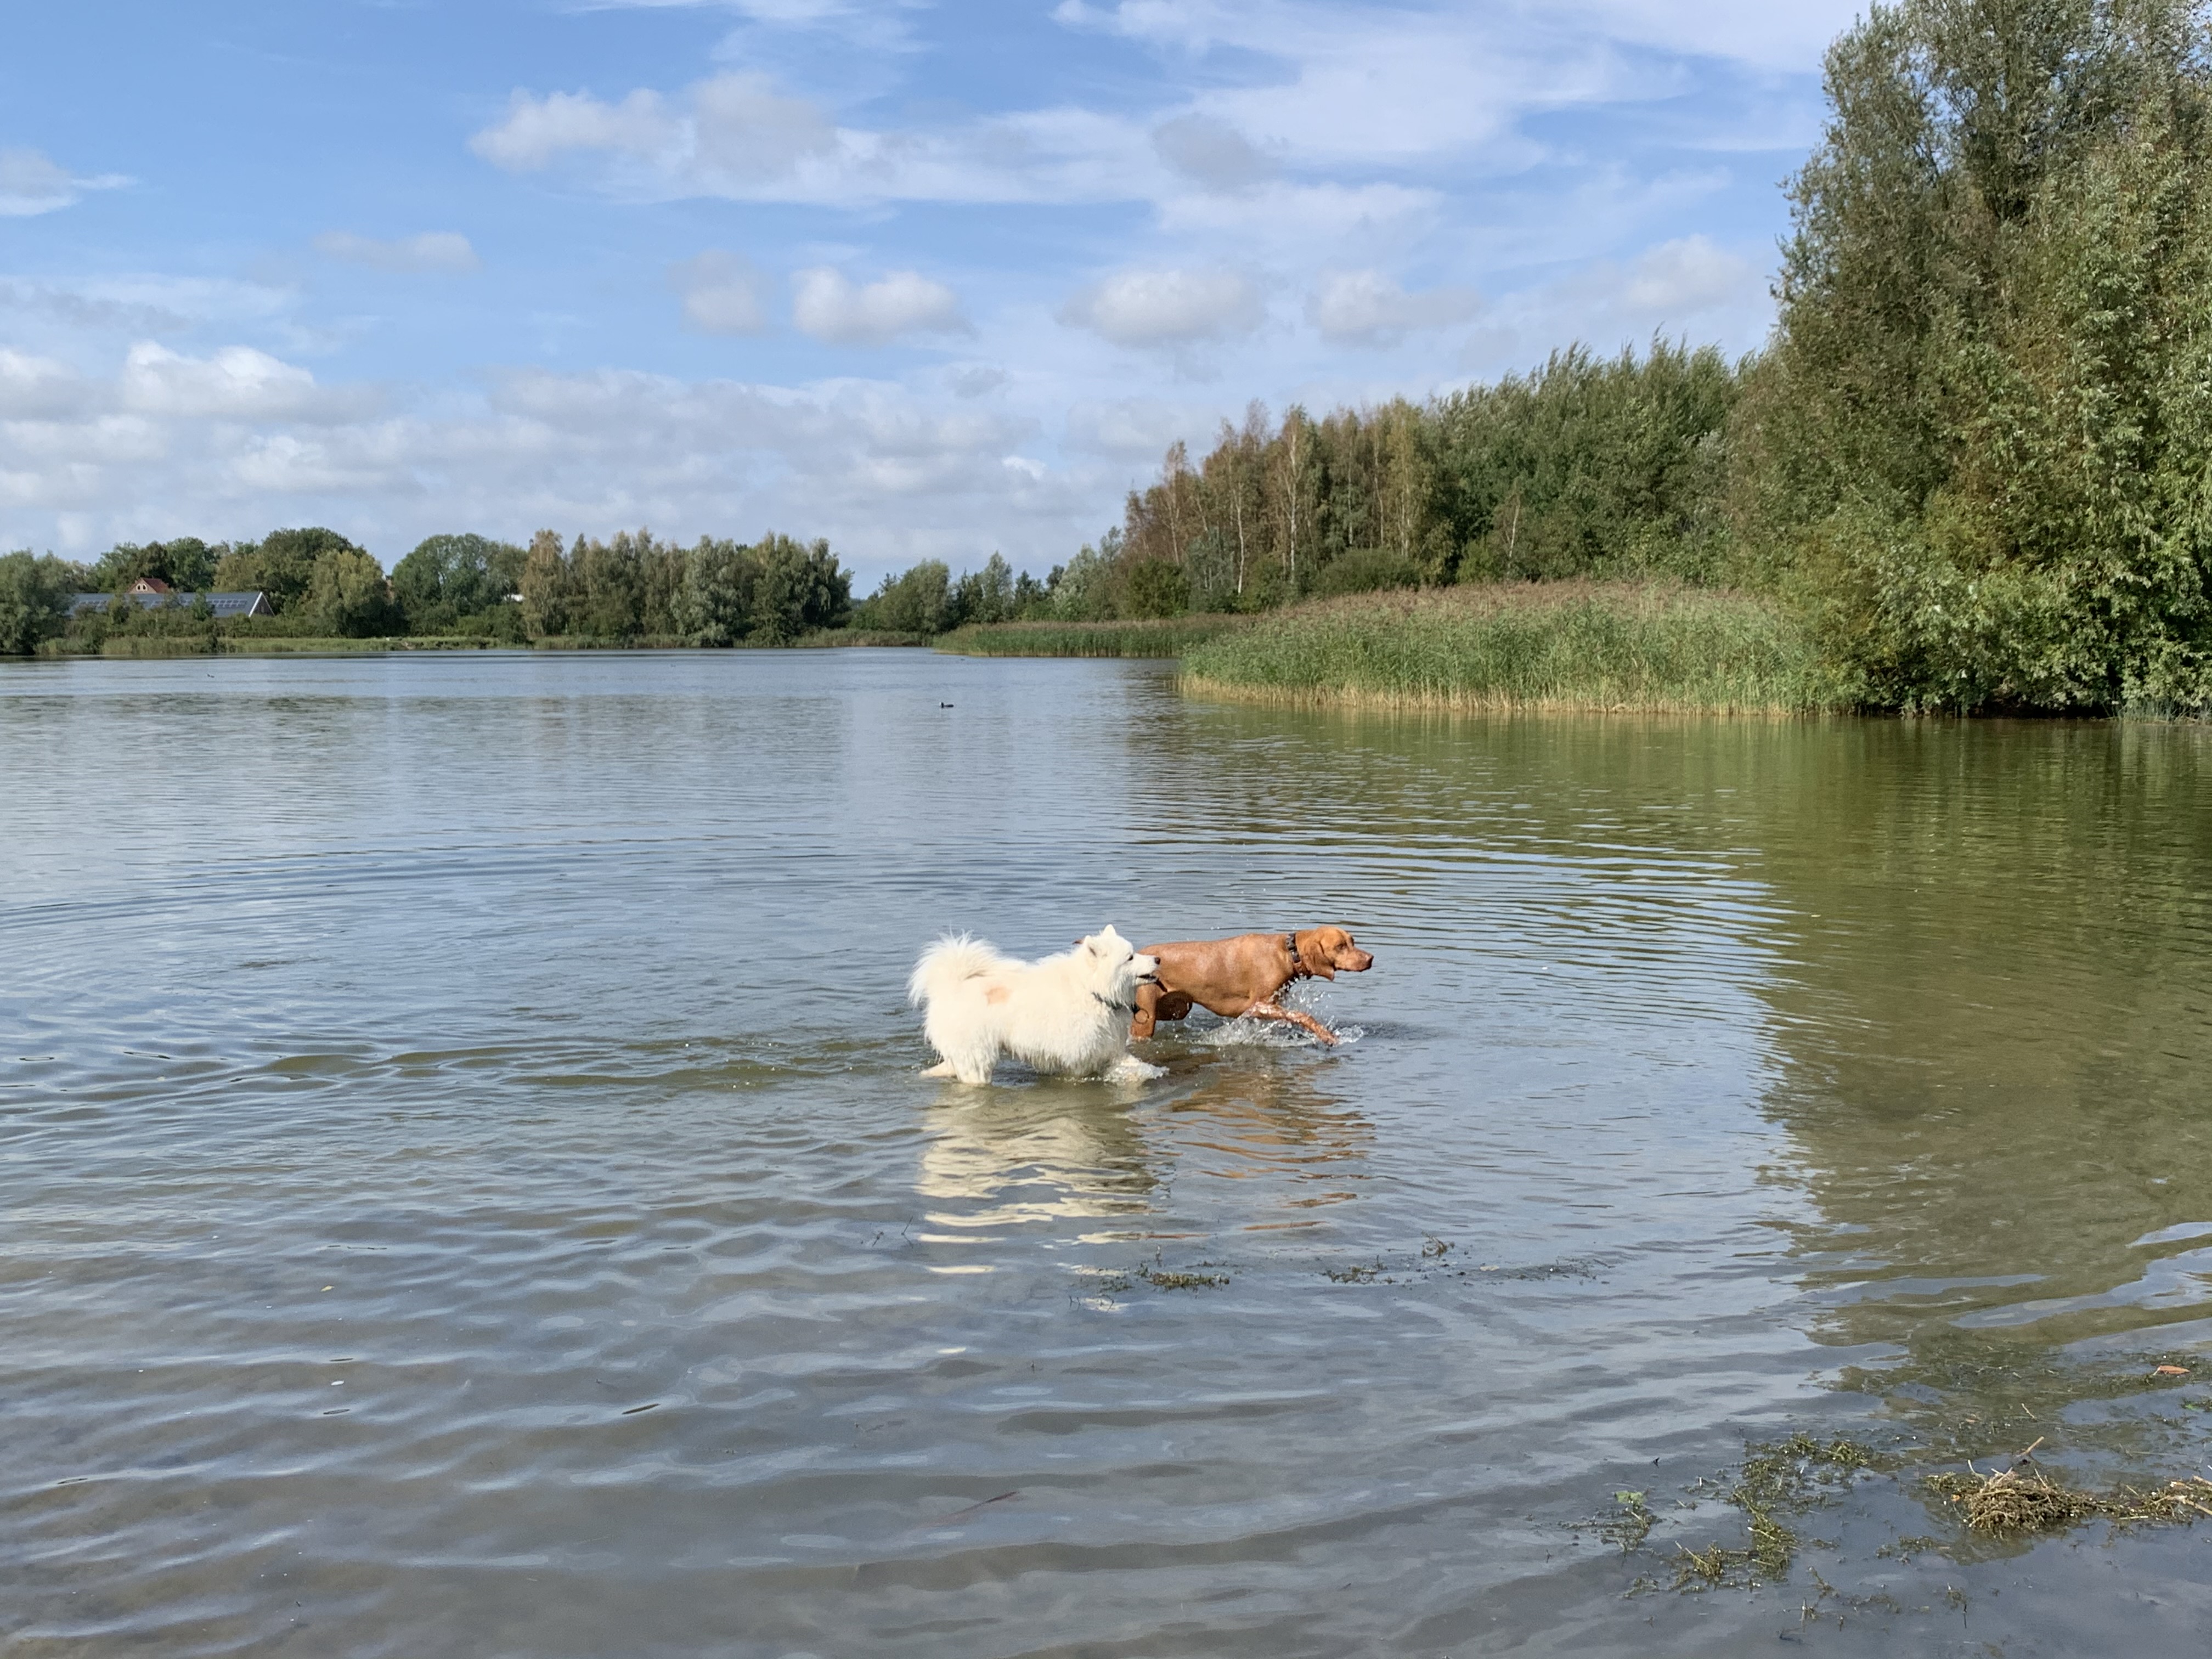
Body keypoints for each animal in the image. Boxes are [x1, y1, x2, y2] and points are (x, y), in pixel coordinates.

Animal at [909, 926, 1162, 1085]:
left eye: (1134, 952)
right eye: (1130, 958)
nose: (1158, 959)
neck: (1094, 991)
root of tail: (950, 985)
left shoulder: (1110, 1049)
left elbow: (1133, 1066)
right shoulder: (1079, 1059)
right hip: (977, 1055)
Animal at [1130, 926, 1374, 1045]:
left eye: (1353, 941)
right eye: (1341, 946)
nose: (1371, 958)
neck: (1287, 953)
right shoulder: (1259, 1006)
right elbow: (1302, 1016)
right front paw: (1327, 1036)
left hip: (1177, 1009)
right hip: (1146, 1020)